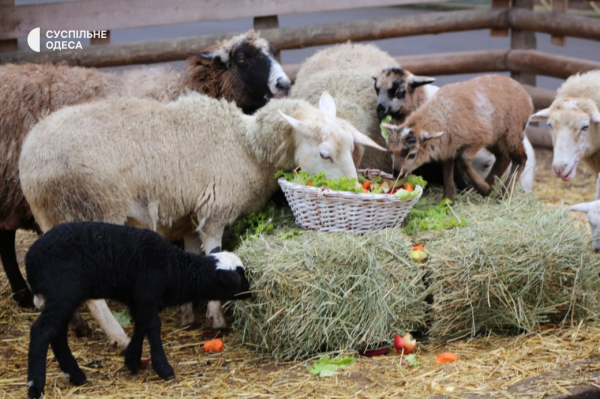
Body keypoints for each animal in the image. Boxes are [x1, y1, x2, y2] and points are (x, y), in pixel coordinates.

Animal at [18, 90, 384, 350]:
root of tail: (30, 160)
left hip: (55, 219)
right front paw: (218, 318)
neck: (246, 147)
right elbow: (214, 258)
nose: (354, 190)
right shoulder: (214, 212)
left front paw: (188, 315)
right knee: (93, 295)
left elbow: (192, 259)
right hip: (91, 209)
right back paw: (118, 336)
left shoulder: (190, 215)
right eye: (324, 154)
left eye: (351, 146)